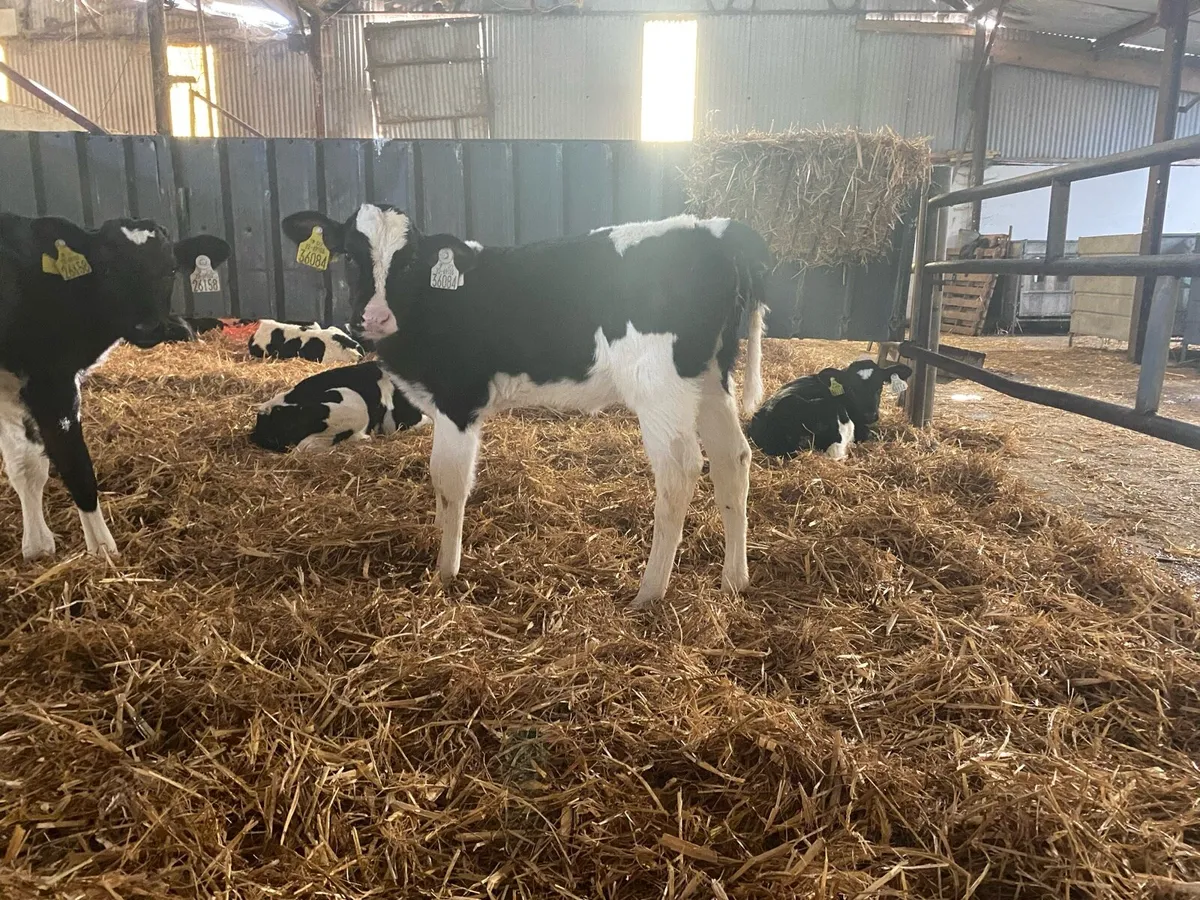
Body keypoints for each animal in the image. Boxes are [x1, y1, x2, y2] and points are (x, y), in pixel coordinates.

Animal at [0, 213, 229, 560]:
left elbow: (26, 466)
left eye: (170, 269)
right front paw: (103, 550)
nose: (147, 327)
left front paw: (38, 546)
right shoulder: (50, 383)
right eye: (107, 270)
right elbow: (75, 465)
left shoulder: (14, 388)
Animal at [282, 206, 771, 609]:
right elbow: (439, 484)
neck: (434, 303)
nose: (375, 318)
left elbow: (450, 481)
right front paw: (439, 535)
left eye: (409, 261)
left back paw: (649, 592)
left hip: (660, 388)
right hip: (711, 378)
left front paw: (446, 571)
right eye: (349, 255)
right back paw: (734, 580)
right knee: (733, 459)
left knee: (680, 472)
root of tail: (714, 229)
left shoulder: (459, 399)